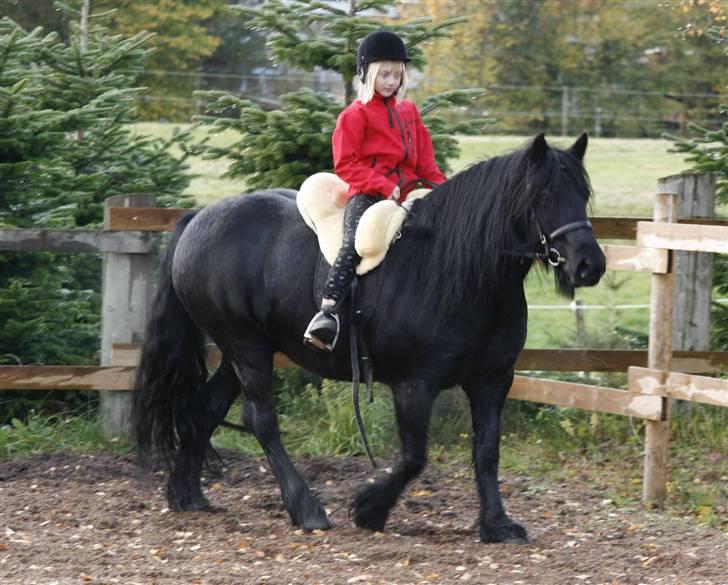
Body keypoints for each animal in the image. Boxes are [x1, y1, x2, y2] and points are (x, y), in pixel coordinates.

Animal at [133, 133, 605, 544]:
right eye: (543, 197)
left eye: (582, 195)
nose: (589, 265)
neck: (458, 269)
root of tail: (199, 218)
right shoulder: (414, 385)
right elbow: (415, 456)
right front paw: (369, 509)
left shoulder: (492, 382)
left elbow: (487, 451)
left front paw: (497, 524)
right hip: (246, 347)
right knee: (261, 419)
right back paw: (306, 509)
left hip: (241, 352)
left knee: (206, 408)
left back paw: (187, 495)